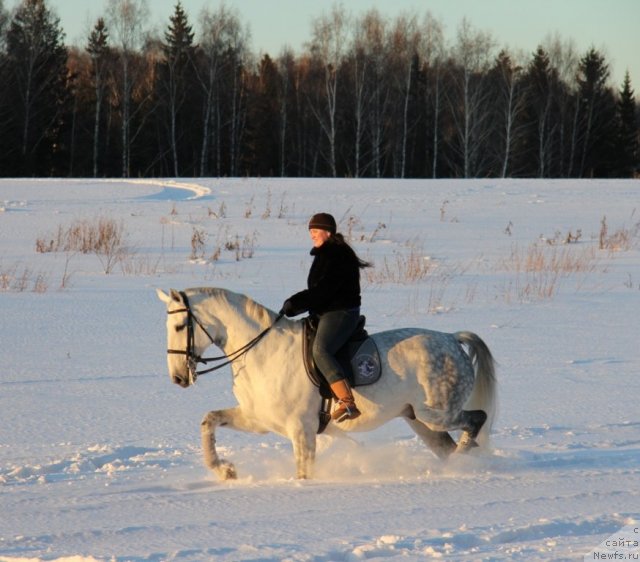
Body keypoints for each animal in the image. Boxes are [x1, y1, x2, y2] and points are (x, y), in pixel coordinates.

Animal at [155, 288, 496, 476]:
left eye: (180, 325)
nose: (178, 377)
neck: (262, 352)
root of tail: (452, 338)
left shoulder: (301, 429)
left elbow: (304, 471)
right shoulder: (258, 419)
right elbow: (209, 421)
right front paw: (225, 471)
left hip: (436, 415)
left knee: (476, 420)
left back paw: (463, 458)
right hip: (422, 422)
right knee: (452, 441)